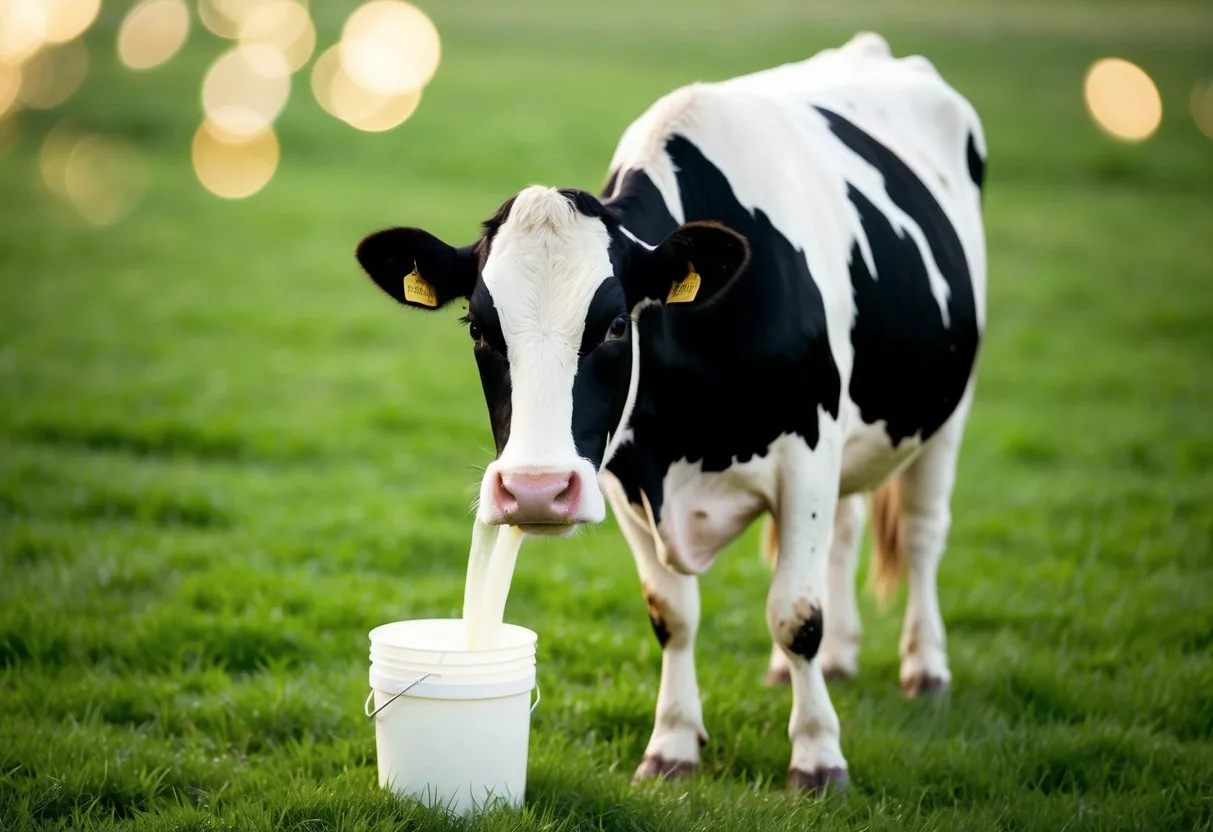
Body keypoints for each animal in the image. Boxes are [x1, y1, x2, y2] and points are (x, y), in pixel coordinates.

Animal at [354, 34, 989, 795]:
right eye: (479, 329)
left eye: (614, 326)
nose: (535, 490)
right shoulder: (624, 472)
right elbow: (673, 615)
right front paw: (674, 744)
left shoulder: (807, 452)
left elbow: (795, 613)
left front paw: (817, 755)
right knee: (845, 529)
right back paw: (834, 663)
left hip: (947, 412)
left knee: (922, 537)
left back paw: (924, 669)